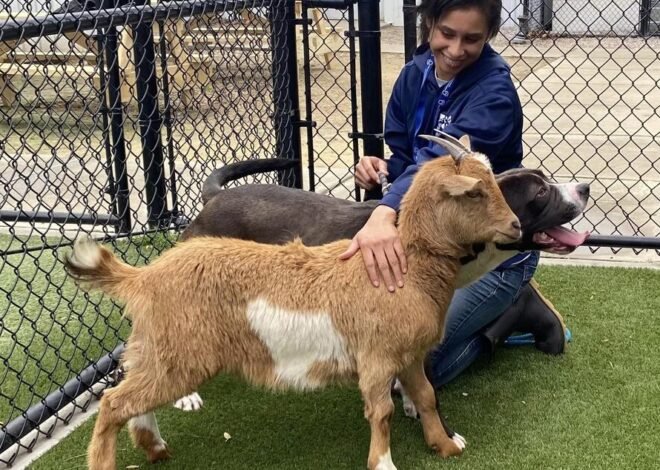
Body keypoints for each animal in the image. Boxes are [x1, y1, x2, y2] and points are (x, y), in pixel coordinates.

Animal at [65, 140, 520, 470]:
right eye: (475, 192)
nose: (515, 226)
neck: (405, 265)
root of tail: (143, 277)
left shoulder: (407, 356)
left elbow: (425, 396)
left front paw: (446, 445)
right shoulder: (376, 358)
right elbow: (381, 412)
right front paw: (384, 464)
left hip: (160, 349)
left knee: (127, 390)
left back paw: (154, 446)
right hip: (180, 356)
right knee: (114, 402)